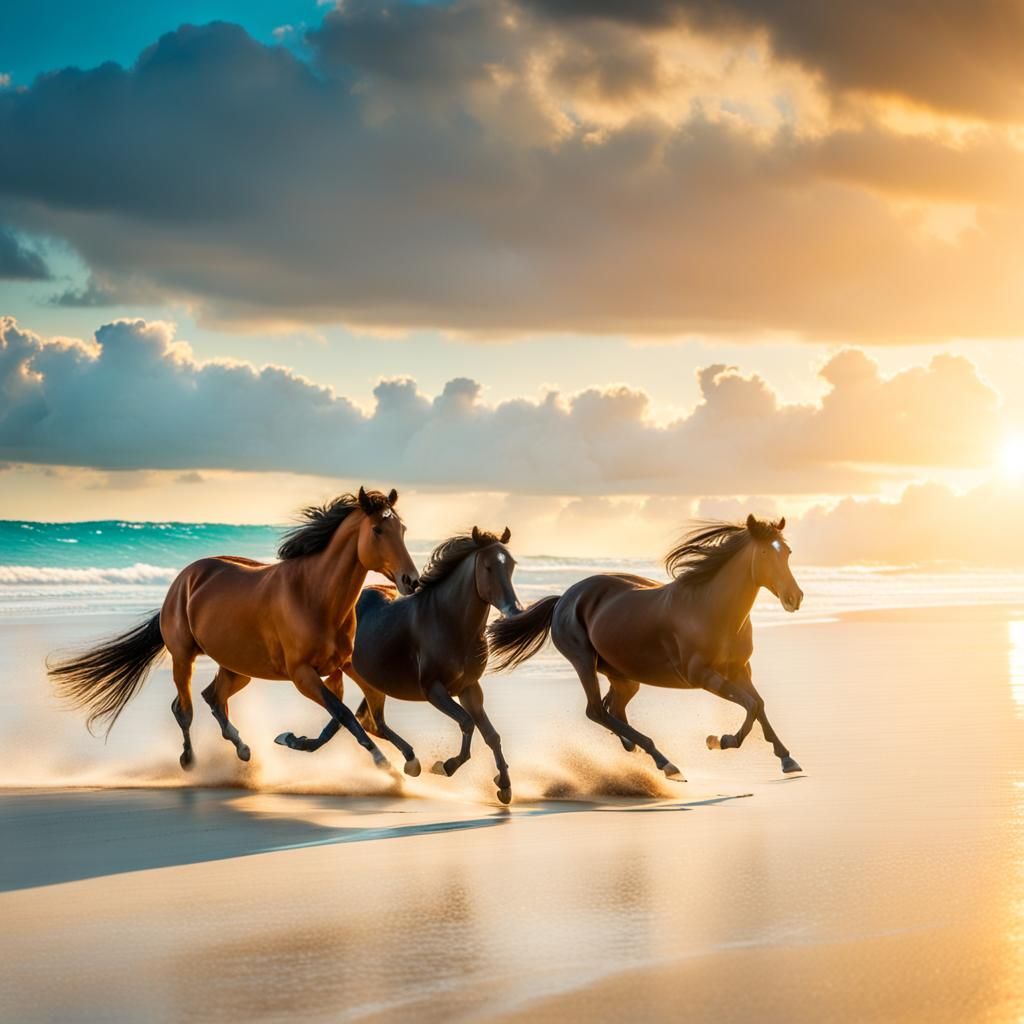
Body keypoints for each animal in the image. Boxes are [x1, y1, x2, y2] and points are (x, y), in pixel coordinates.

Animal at [48, 487, 420, 772]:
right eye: (378, 530)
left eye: (402, 529)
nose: (411, 581)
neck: (314, 594)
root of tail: (183, 580)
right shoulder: (302, 674)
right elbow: (343, 713)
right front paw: (383, 761)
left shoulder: (342, 665)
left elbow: (354, 714)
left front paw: (408, 758)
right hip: (184, 657)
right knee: (185, 708)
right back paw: (190, 760)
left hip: (237, 667)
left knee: (213, 697)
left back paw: (242, 747)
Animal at [274, 526, 523, 804]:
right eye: (488, 567)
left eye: (511, 565)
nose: (514, 609)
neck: (450, 622)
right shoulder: (433, 689)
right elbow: (467, 722)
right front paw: (445, 766)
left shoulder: (469, 688)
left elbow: (491, 735)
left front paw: (505, 785)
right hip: (355, 676)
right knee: (362, 719)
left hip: (367, 680)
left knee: (362, 720)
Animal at [487, 514, 803, 780]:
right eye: (765, 553)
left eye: (787, 552)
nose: (795, 597)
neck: (711, 610)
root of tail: (564, 598)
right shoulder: (702, 676)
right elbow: (750, 704)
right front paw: (722, 741)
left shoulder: (740, 669)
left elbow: (758, 704)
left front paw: (787, 759)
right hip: (584, 662)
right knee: (596, 711)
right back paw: (665, 762)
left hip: (624, 676)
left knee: (613, 708)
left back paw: (634, 747)